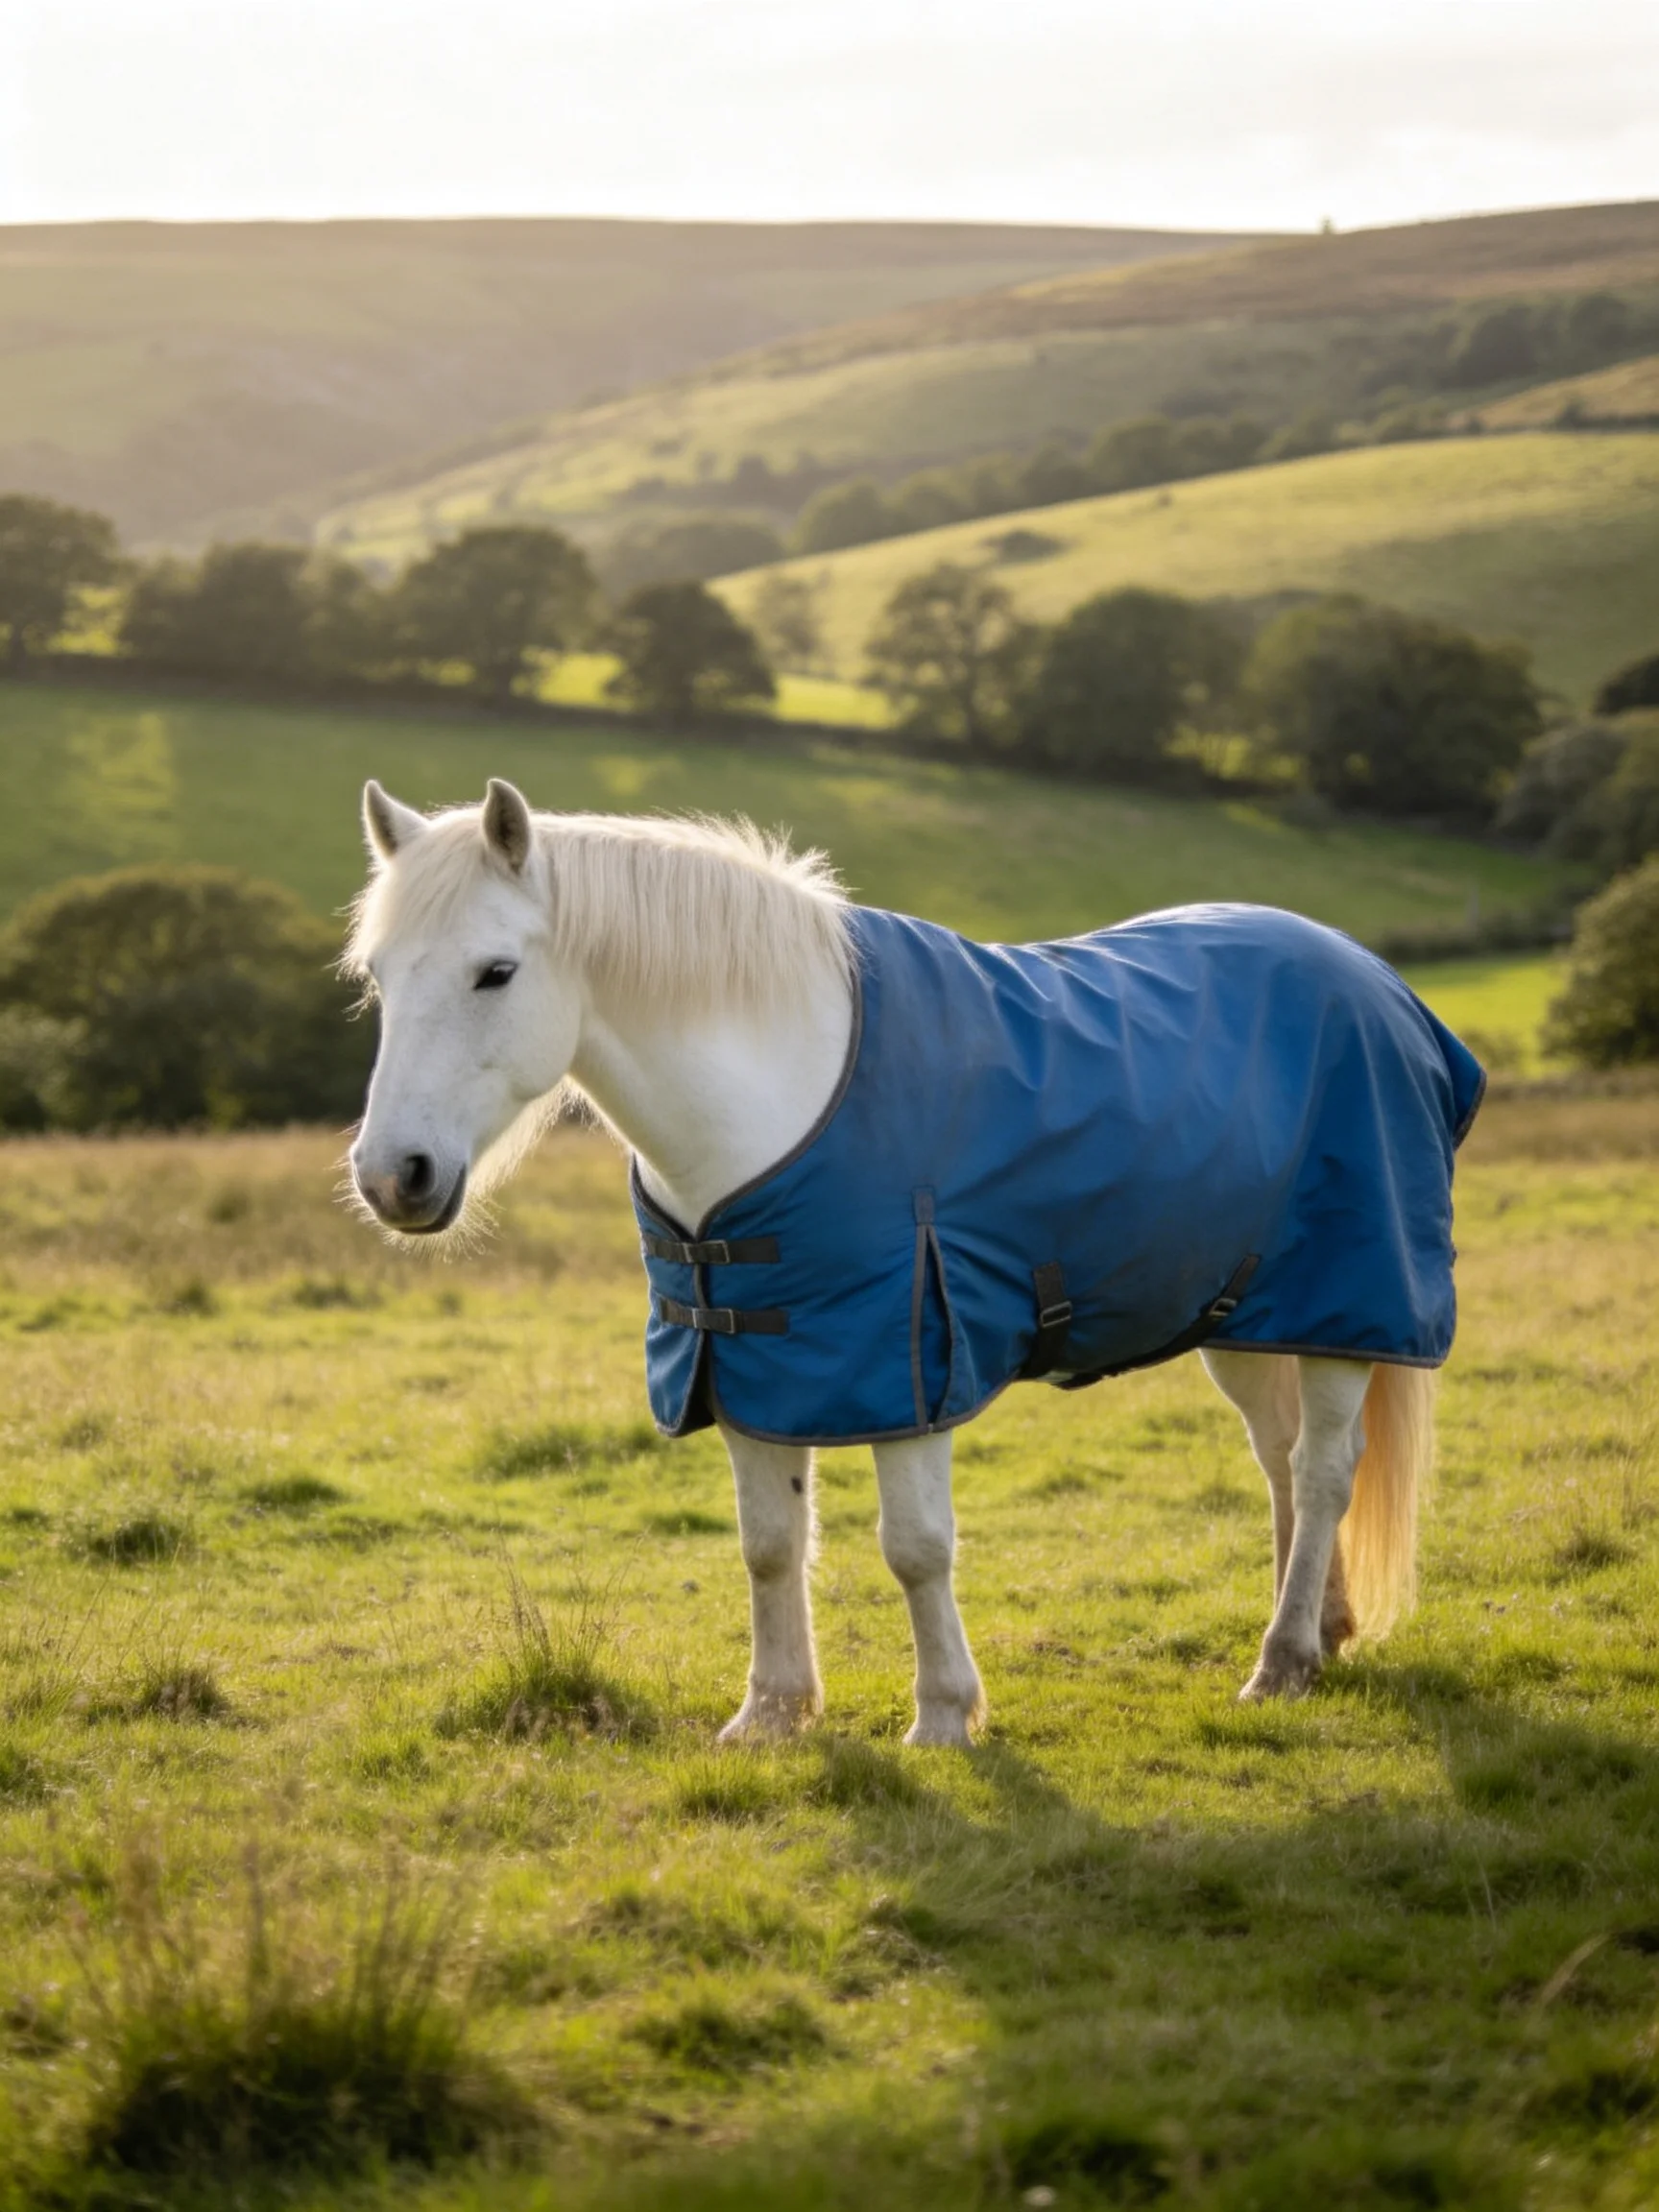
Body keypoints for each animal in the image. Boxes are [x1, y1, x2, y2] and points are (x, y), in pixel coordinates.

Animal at [346, 778, 1483, 1747]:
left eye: (496, 971)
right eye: (379, 977)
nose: (393, 1177)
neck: (778, 1098)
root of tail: (1378, 983)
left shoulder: (910, 1362)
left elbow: (915, 1547)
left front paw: (942, 1714)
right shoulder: (749, 1360)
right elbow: (769, 1542)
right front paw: (773, 1713)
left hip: (1348, 1310)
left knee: (1326, 1469)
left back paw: (1283, 1659)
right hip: (1246, 1316)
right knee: (1281, 1462)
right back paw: (1319, 1633)